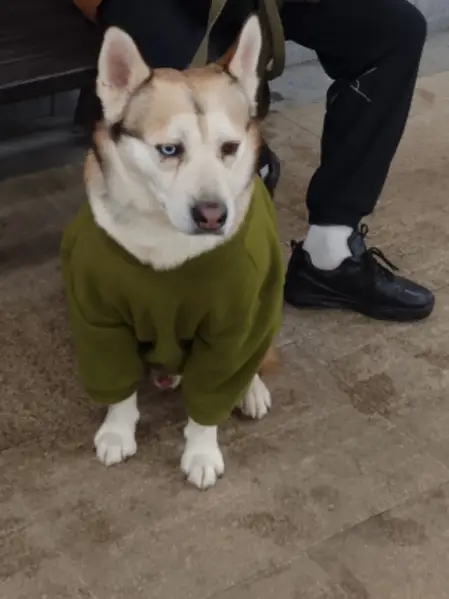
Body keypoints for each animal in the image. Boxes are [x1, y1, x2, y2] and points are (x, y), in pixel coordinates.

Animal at [61, 15, 284, 490]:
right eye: (169, 149)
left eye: (229, 148)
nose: (213, 215)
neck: (165, 238)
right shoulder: (99, 315)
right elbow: (118, 383)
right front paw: (117, 430)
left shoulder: (233, 325)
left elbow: (212, 395)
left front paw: (201, 452)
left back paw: (251, 389)